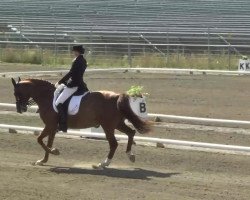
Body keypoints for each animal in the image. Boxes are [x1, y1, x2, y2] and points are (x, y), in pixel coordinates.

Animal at [11, 78, 150, 169]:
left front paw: (55, 152)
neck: (47, 97)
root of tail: (117, 96)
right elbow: (48, 142)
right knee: (131, 133)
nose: (20, 109)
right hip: (117, 124)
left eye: (16, 92)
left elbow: (39, 140)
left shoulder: (49, 125)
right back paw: (130, 156)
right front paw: (43, 160)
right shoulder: (52, 127)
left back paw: (104, 163)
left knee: (114, 143)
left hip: (108, 126)